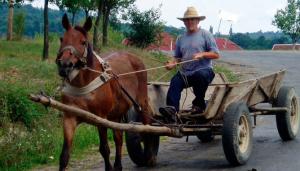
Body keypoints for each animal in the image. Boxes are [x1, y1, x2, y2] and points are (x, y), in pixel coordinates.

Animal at [56, 14, 158, 170]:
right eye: (62, 39)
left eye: (83, 42)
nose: (64, 65)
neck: (83, 85)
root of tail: (133, 57)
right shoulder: (69, 117)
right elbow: (64, 155)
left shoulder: (101, 118)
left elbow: (104, 148)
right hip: (116, 114)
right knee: (118, 138)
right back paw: (118, 165)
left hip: (141, 102)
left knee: (147, 128)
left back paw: (150, 157)